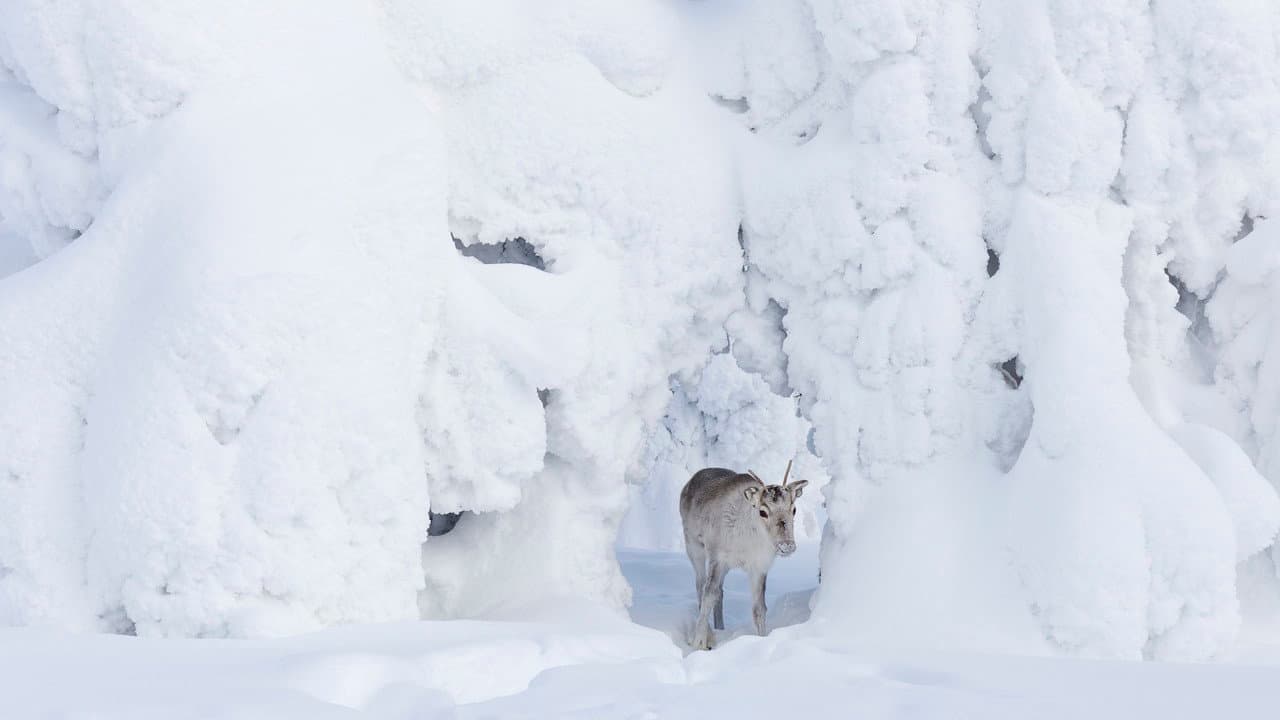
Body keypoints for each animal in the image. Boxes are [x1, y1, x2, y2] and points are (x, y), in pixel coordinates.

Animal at [679, 459, 808, 650]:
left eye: (794, 509)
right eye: (762, 511)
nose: (787, 545)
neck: (748, 542)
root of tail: (689, 482)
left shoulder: (758, 567)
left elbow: (759, 608)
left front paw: (762, 638)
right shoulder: (717, 558)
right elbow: (708, 595)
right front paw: (699, 642)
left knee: (720, 592)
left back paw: (720, 627)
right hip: (694, 547)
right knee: (701, 586)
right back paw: (710, 632)